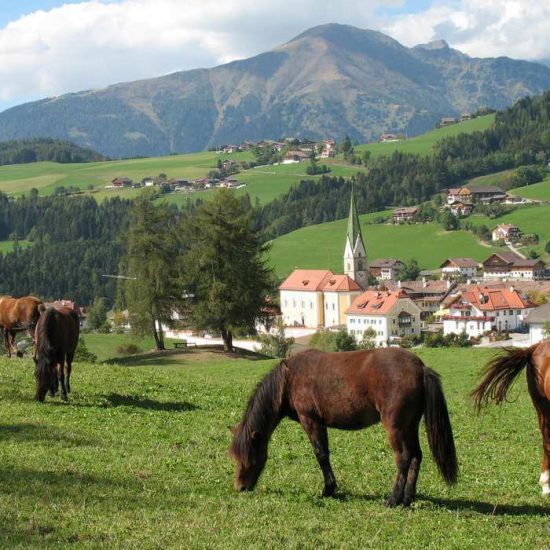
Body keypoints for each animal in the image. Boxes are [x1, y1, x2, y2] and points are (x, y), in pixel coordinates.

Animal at [231, 350, 460, 508]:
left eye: (248, 456)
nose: (240, 487)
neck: (289, 379)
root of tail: (420, 368)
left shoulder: (310, 420)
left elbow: (321, 455)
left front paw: (328, 489)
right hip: (410, 426)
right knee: (416, 456)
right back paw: (407, 498)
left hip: (396, 427)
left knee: (403, 458)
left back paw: (393, 499)